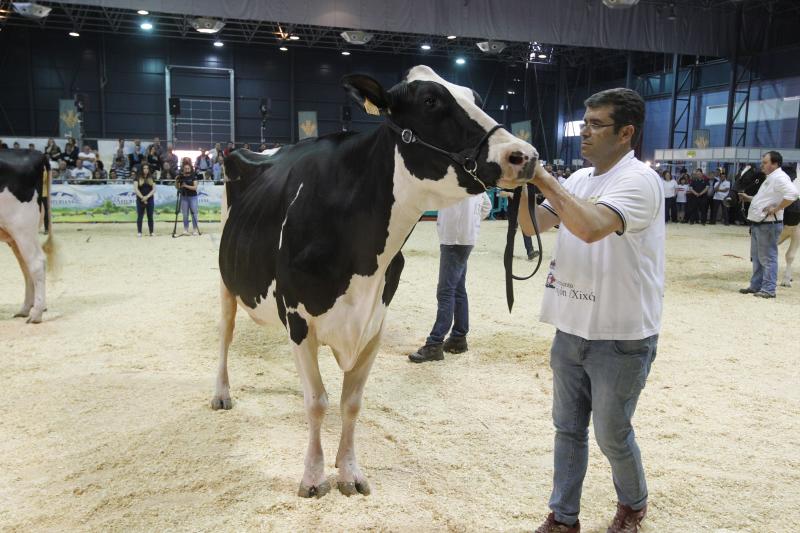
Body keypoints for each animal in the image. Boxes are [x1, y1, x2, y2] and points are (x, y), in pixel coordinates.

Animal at [0, 150, 55, 324]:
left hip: (21, 227)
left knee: (36, 263)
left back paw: (35, 314)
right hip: (17, 234)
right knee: (26, 267)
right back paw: (25, 309)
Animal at [212, 64, 536, 496]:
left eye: (476, 98)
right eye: (430, 100)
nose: (524, 155)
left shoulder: (374, 320)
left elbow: (351, 402)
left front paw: (349, 472)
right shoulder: (298, 318)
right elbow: (317, 401)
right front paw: (313, 477)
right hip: (226, 279)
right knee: (226, 332)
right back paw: (221, 393)